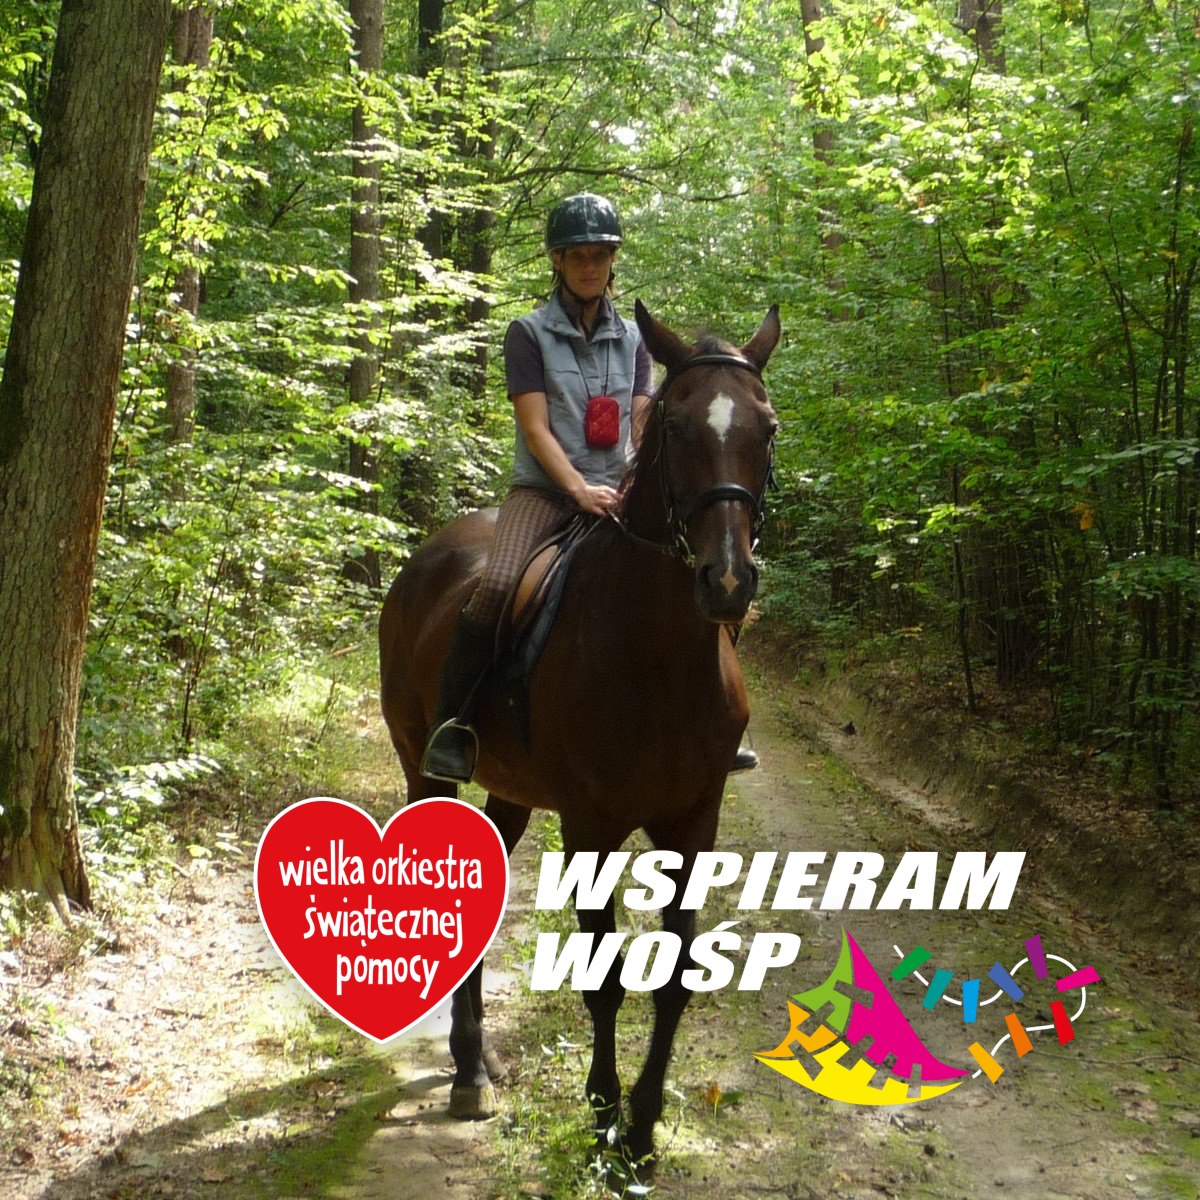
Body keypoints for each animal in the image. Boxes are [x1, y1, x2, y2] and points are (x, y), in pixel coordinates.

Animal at [379, 299, 780, 1167]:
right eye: (676, 425)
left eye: (764, 427)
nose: (728, 581)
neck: (657, 658)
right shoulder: (591, 828)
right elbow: (603, 976)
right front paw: (602, 1115)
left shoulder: (693, 821)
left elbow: (676, 974)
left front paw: (645, 1126)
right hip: (426, 771)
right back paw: (469, 1072)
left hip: (512, 793)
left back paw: (476, 1061)